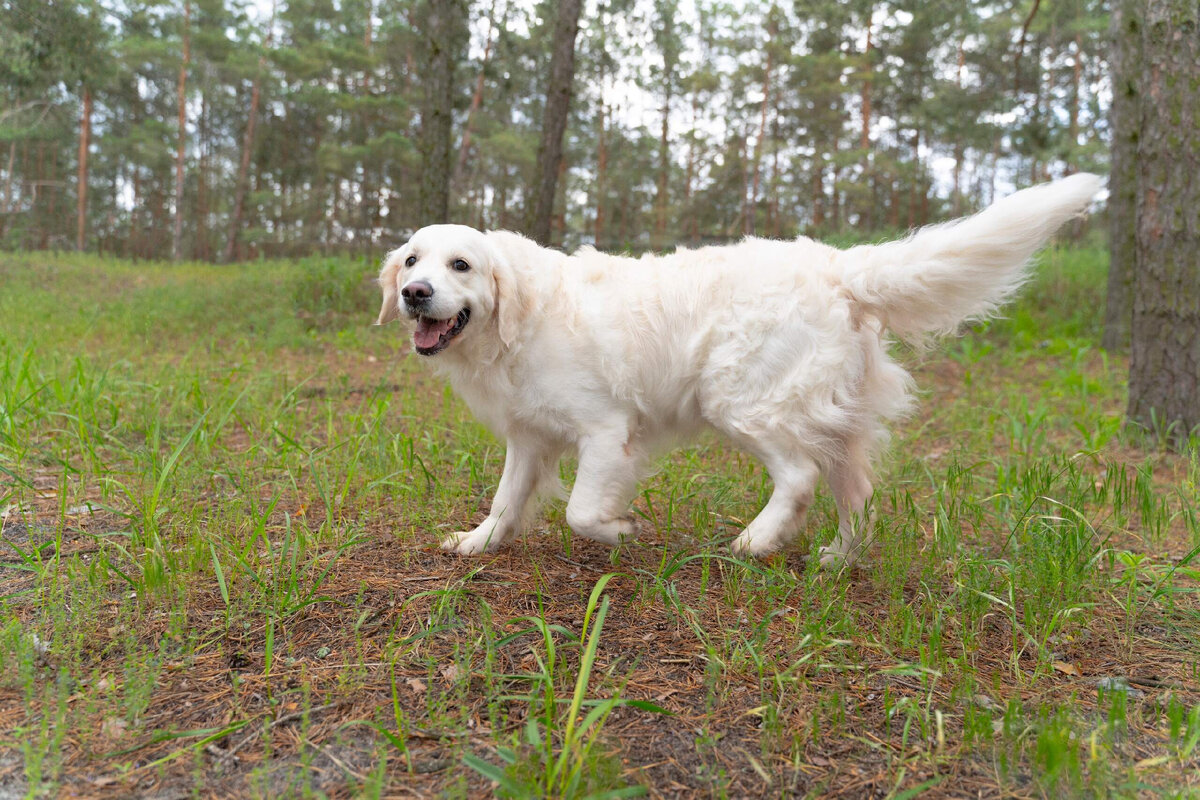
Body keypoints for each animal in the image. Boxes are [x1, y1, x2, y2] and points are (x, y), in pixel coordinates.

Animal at [374, 175, 1099, 563]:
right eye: (412, 260)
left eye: (461, 265)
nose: (414, 294)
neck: (521, 318)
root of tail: (838, 267)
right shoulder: (528, 439)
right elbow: (504, 501)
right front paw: (477, 544)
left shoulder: (607, 432)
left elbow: (581, 510)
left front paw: (618, 530)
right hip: (830, 421)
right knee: (856, 492)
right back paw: (838, 558)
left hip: (743, 401)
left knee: (800, 477)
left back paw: (757, 541)